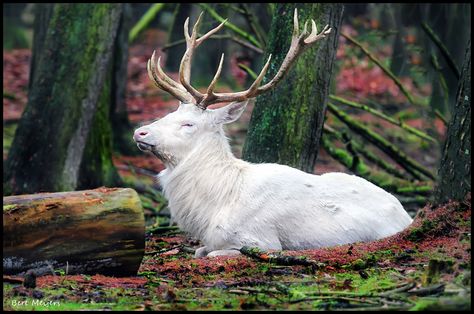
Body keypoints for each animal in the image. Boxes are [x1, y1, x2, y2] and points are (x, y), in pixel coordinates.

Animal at [132, 11, 412, 258]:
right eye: (172, 112)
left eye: (188, 124)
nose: (140, 131)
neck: (212, 209)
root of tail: (407, 215)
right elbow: (200, 251)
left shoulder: (261, 240)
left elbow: (211, 254)